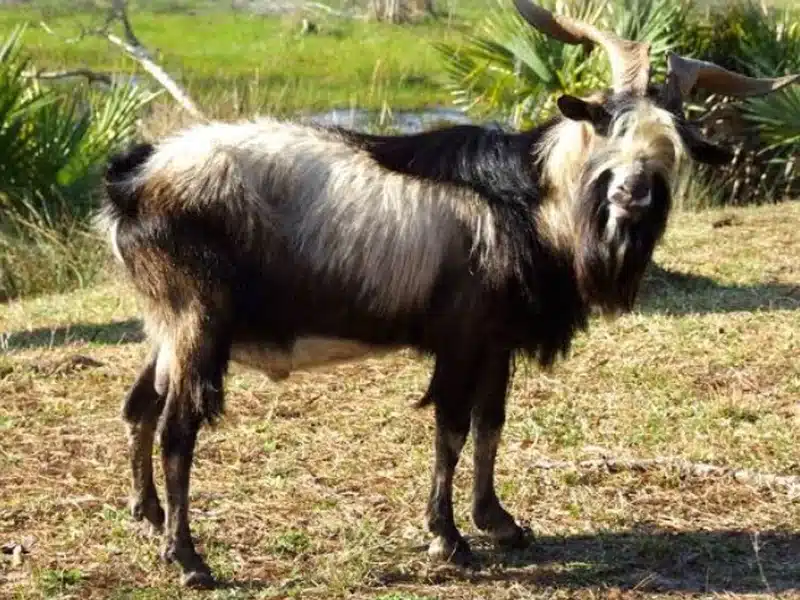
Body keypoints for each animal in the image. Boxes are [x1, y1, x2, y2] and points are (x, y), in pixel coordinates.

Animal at [97, 0, 799, 588]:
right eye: (607, 126)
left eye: (671, 149)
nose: (632, 194)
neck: (532, 200)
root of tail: (134, 177)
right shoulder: (461, 338)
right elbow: (453, 427)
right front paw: (449, 539)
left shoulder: (497, 342)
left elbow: (491, 423)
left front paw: (499, 523)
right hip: (199, 322)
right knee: (177, 428)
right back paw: (189, 560)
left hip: (167, 326)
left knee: (139, 406)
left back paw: (148, 518)